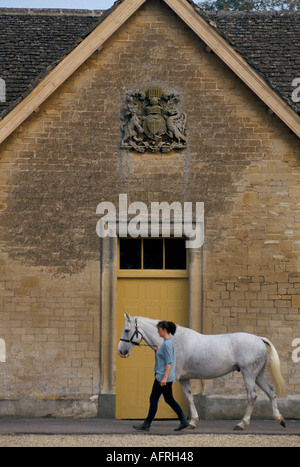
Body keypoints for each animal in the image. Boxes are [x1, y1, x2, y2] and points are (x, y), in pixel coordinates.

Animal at [116, 314, 286, 432]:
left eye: (126, 330)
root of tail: (259, 339)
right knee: (271, 391)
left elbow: (156, 400)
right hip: (258, 375)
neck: (175, 341)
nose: (121, 351)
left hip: (249, 374)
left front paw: (146, 424)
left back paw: (241, 424)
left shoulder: (170, 379)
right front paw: (191, 422)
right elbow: (189, 398)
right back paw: (279, 418)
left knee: (252, 396)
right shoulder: (184, 379)